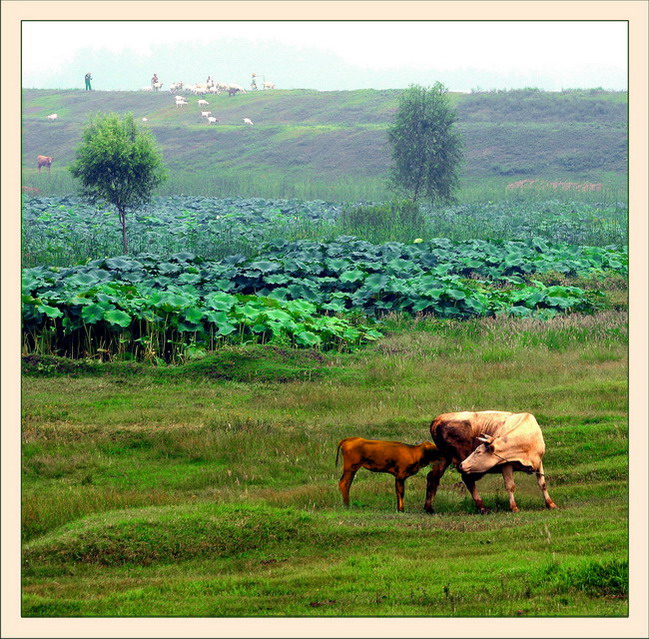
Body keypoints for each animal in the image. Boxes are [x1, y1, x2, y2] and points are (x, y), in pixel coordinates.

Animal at [422, 416, 556, 516]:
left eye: (478, 451)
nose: (462, 464)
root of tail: (438, 419)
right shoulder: (505, 464)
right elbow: (510, 486)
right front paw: (513, 507)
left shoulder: (539, 461)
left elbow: (542, 483)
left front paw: (551, 504)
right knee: (467, 480)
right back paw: (482, 507)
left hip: (444, 457)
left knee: (433, 477)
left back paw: (429, 508)